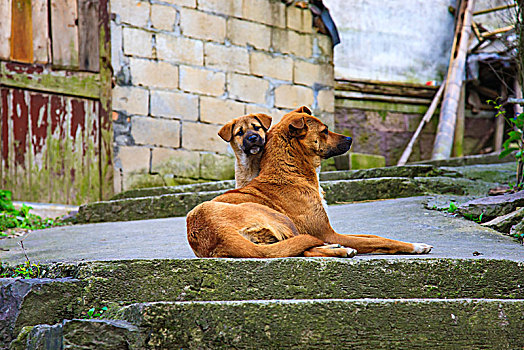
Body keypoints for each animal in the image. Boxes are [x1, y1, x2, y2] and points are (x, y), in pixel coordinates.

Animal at [186, 106, 432, 258]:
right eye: (324, 130)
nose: (350, 139)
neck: (290, 171)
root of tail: (217, 235)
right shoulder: (327, 232)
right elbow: (378, 241)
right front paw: (415, 246)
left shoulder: (331, 232)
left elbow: (373, 236)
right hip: (279, 218)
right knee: (304, 247)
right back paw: (341, 250)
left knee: (296, 248)